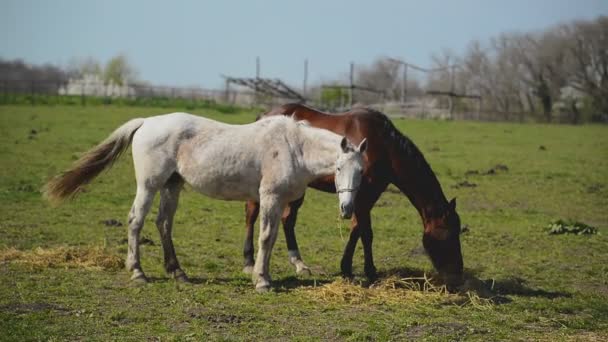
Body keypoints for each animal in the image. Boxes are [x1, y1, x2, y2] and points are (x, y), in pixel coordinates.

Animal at [45, 113, 368, 292]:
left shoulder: (277, 202)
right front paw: (262, 281)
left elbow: (272, 237)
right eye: (339, 167)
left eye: (361, 171)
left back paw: (178, 273)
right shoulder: (270, 198)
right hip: (149, 185)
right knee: (136, 220)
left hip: (172, 185)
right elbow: (266, 237)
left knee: (163, 223)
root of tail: (146, 122)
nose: (347, 209)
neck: (293, 147)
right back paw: (138, 273)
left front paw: (264, 275)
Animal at [240, 103, 464, 288]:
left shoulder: (365, 196)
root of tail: (263, 116)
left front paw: (347, 268)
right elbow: (366, 232)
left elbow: (357, 229)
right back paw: (249, 261)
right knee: (252, 216)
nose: (458, 273)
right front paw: (369, 271)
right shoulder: (363, 196)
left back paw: (299, 264)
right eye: (450, 234)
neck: (383, 147)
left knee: (288, 220)